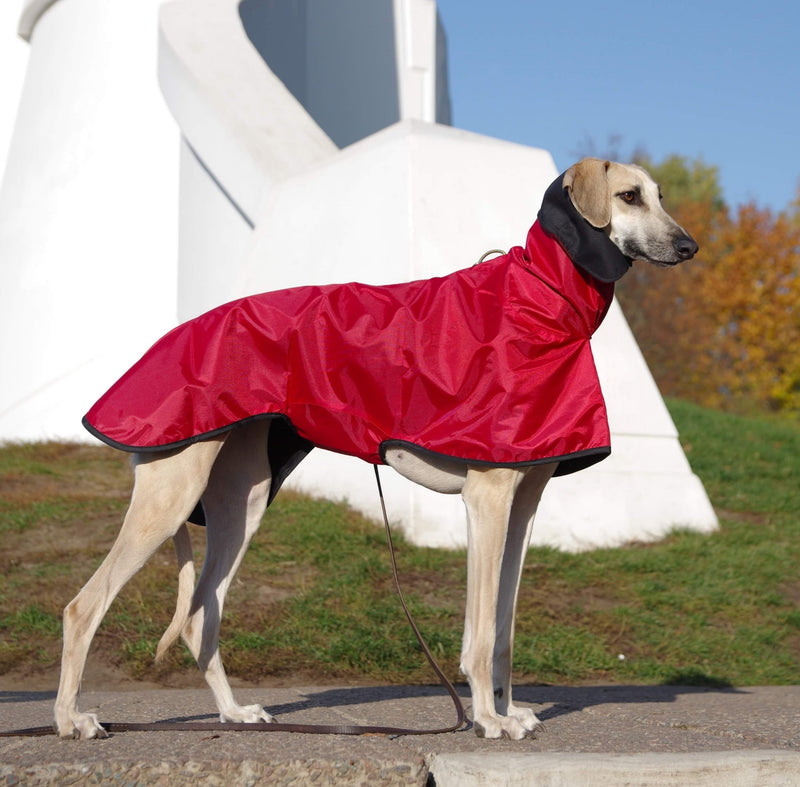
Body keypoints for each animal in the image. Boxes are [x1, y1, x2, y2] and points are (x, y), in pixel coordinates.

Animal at [54, 159, 692, 740]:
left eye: (661, 196)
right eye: (629, 196)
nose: (689, 246)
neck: (541, 296)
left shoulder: (523, 505)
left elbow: (504, 627)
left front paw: (508, 712)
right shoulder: (487, 499)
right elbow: (482, 631)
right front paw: (488, 720)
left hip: (242, 505)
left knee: (198, 620)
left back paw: (234, 713)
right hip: (169, 499)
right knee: (83, 607)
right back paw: (70, 720)